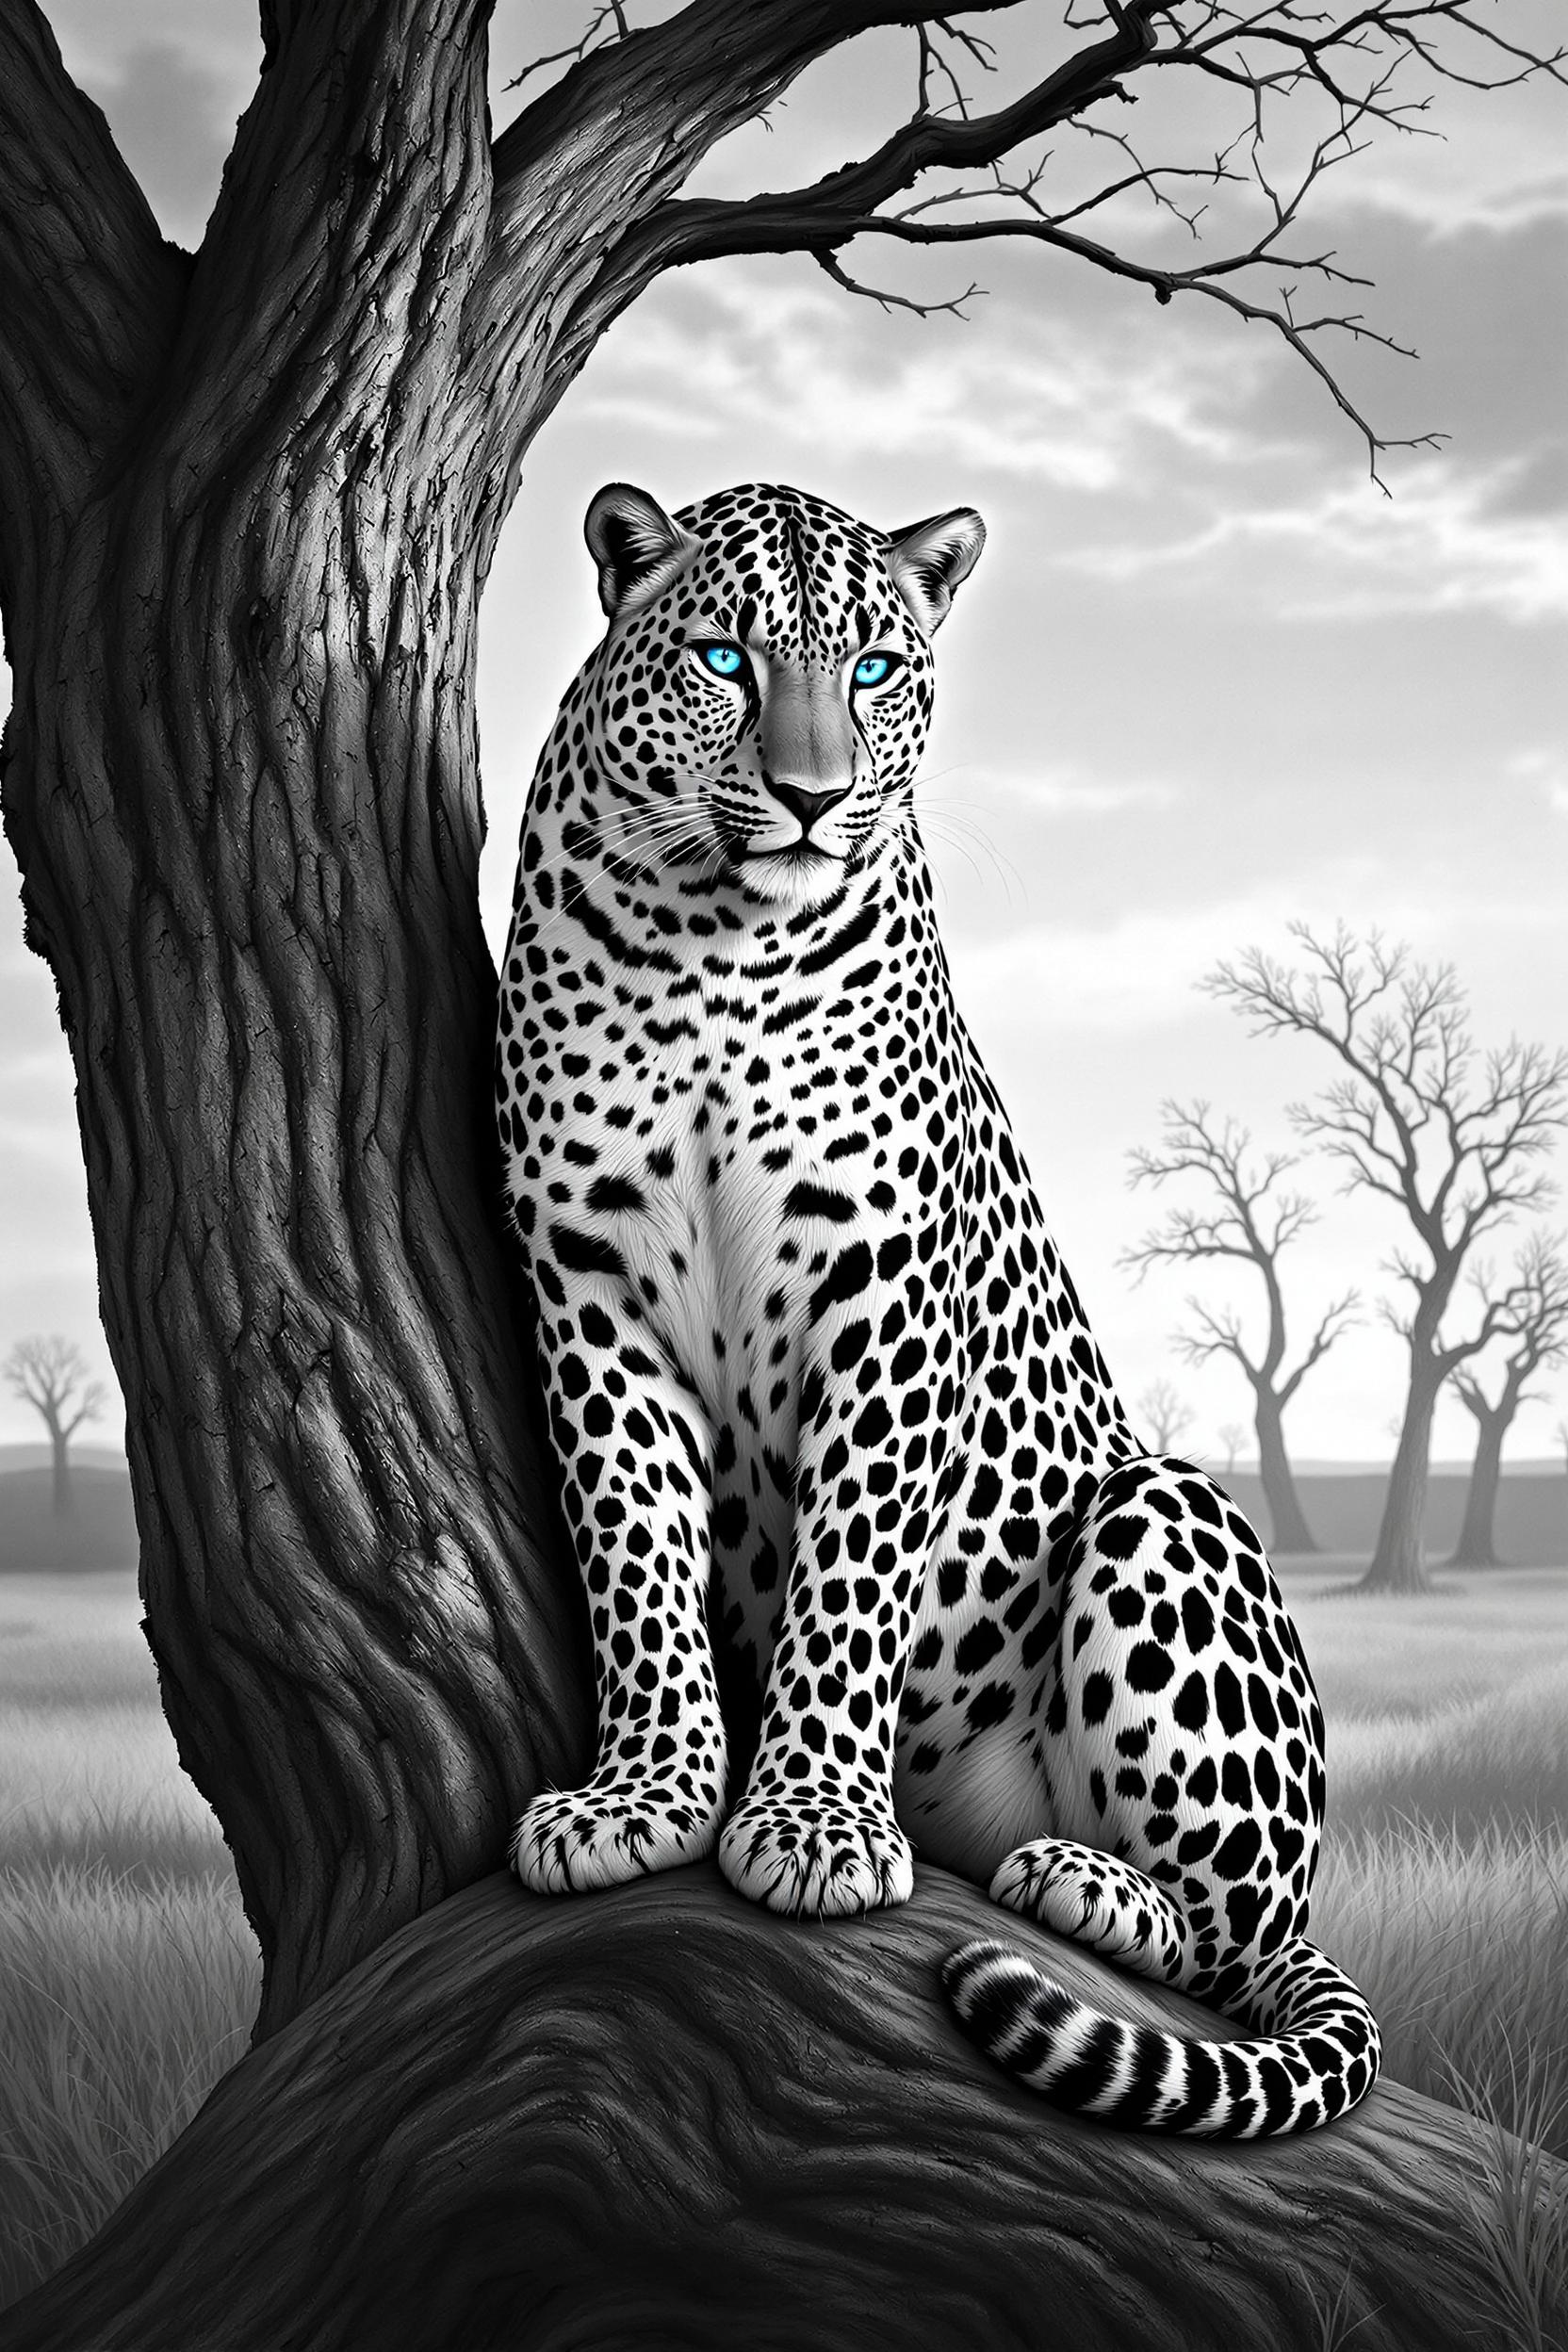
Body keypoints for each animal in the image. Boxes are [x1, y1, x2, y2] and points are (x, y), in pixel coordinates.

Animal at [493, 477, 1381, 2137]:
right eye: (724, 657)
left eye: (876, 669)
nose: (811, 798)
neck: (714, 946)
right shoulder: (586, 1283)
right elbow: (635, 1559)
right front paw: (644, 1795)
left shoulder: (882, 1290)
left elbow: (850, 1582)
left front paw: (816, 1828)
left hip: (1164, 1517)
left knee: (1234, 1942)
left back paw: (1094, 1884)